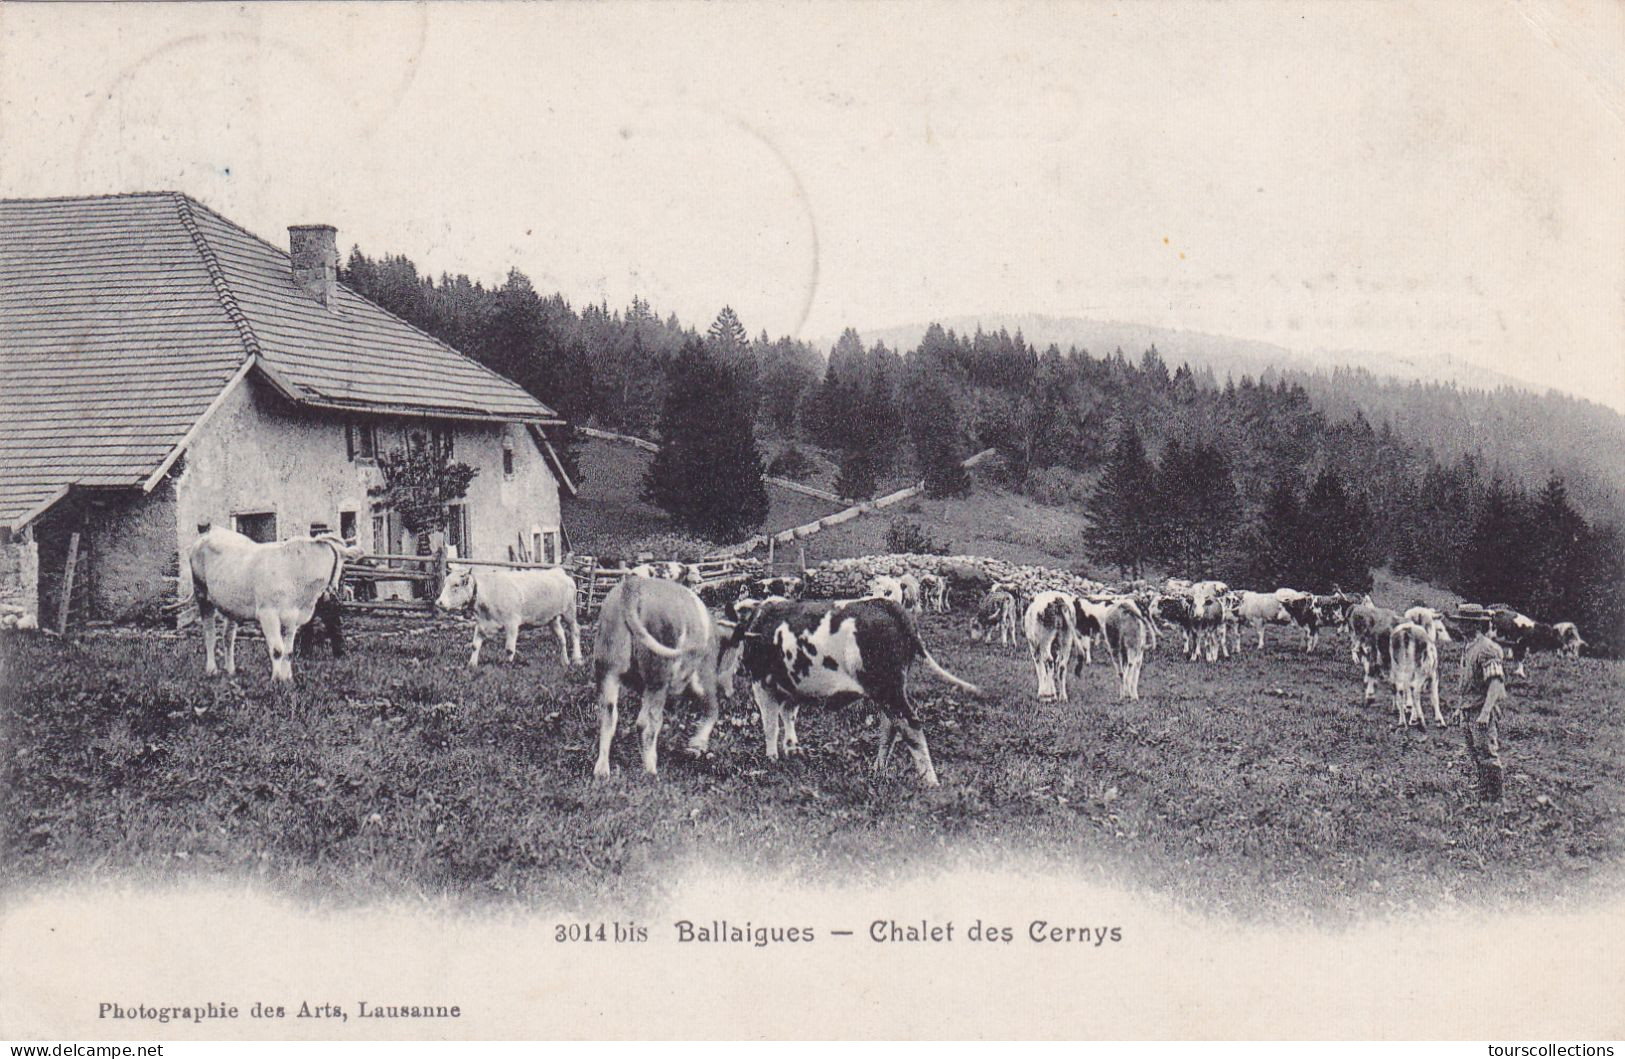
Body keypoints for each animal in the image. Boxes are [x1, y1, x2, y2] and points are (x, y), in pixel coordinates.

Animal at [186, 526, 362, 682]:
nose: (337, 594)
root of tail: (211, 532)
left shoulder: (292, 617)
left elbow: (288, 651)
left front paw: (287, 678)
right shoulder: (268, 614)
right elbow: (277, 649)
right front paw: (276, 679)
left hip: (231, 605)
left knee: (228, 637)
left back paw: (230, 670)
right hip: (202, 595)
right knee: (209, 634)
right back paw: (211, 670)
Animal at [432, 565, 585, 665]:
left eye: (456, 585)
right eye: (445, 583)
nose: (439, 602)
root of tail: (559, 571)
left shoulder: (512, 624)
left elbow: (509, 649)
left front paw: (507, 666)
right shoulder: (481, 623)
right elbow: (475, 645)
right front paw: (472, 665)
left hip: (569, 612)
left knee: (575, 631)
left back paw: (577, 659)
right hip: (552, 618)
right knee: (561, 638)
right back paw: (564, 661)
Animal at [594, 574, 721, 782]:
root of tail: (634, 585)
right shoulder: (704, 679)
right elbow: (712, 710)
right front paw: (697, 745)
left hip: (608, 668)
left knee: (608, 717)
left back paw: (602, 771)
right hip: (658, 676)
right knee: (646, 723)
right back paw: (651, 771)